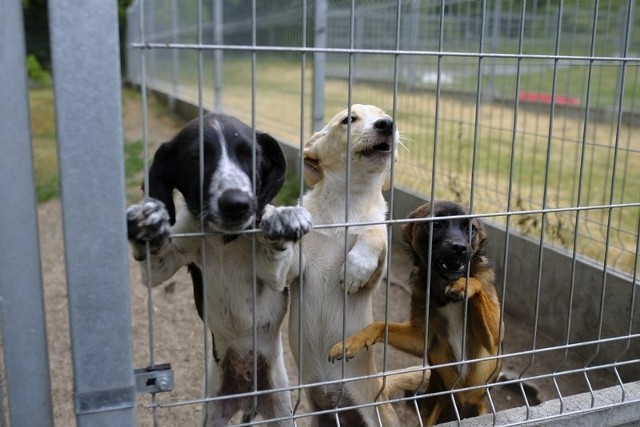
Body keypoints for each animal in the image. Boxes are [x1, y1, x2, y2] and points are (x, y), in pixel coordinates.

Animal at [126, 113, 312, 427]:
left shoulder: (274, 276)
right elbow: (153, 262)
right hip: (213, 409)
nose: (237, 204)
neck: (225, 240)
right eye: (196, 158)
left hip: (281, 406)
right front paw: (146, 223)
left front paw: (282, 218)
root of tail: (248, 396)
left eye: (251, 156)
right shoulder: (165, 261)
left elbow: (273, 251)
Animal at [330, 201, 504, 427]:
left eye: (470, 229)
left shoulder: (494, 339)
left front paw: (463, 284)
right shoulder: (421, 338)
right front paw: (351, 342)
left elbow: (476, 284)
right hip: (434, 404)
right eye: (436, 224)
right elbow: (379, 325)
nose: (460, 248)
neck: (443, 283)